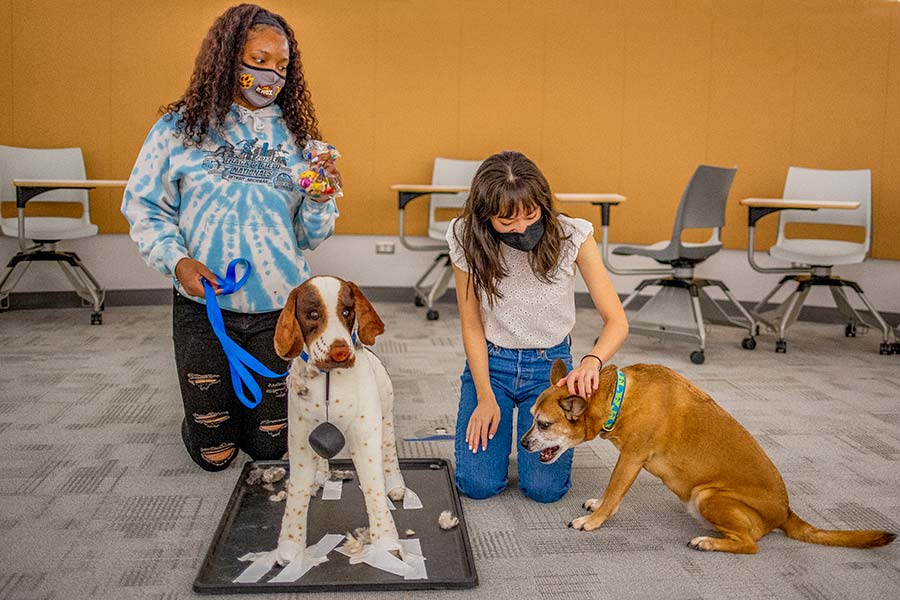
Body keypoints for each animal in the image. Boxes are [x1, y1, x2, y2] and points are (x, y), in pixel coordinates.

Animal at [268, 276, 406, 568]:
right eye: (312, 315)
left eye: (346, 311)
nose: (341, 352)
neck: (328, 382)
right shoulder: (299, 439)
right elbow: (297, 491)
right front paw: (290, 546)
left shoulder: (366, 438)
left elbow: (374, 488)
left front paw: (386, 543)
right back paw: (319, 475)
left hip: (386, 417)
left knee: (389, 455)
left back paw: (396, 485)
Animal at [516, 360, 896, 552]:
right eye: (531, 417)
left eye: (544, 424)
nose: (521, 443)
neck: (618, 396)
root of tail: (786, 512)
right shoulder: (629, 459)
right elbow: (613, 495)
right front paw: (596, 507)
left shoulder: (631, 458)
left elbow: (613, 493)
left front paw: (593, 521)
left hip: (708, 496)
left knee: (750, 545)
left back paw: (710, 542)